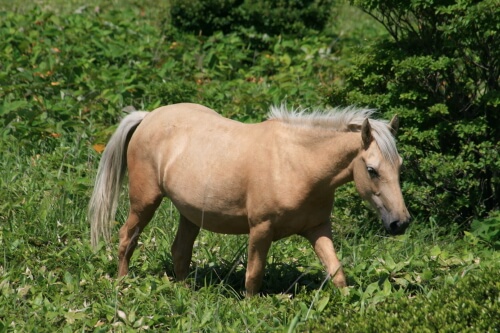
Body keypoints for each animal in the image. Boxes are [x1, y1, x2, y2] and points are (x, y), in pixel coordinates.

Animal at [89, 102, 410, 294]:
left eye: (399, 166)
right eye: (372, 170)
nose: (401, 223)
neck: (298, 164)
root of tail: (147, 116)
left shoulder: (318, 229)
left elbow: (336, 271)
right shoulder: (261, 229)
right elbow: (254, 275)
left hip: (190, 213)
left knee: (180, 251)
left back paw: (185, 293)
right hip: (145, 202)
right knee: (127, 238)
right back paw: (122, 284)